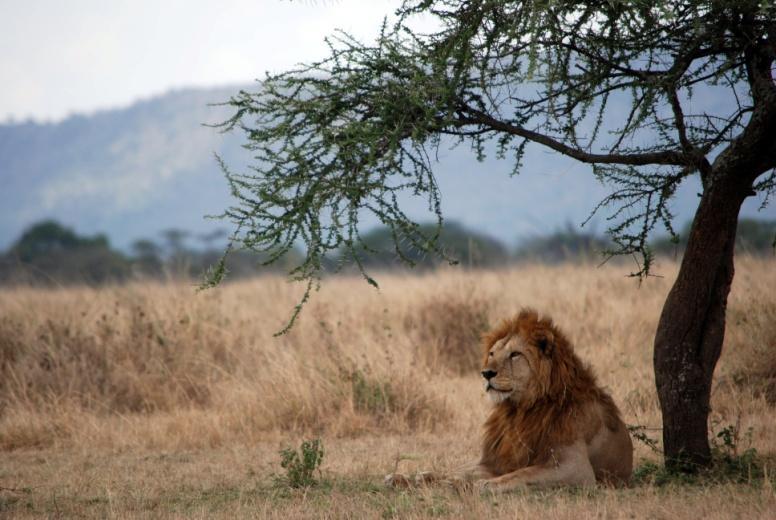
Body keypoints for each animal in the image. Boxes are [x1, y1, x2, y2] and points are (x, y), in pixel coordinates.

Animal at [384, 308, 632, 492]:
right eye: (492, 354)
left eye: (515, 355)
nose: (486, 373)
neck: (520, 411)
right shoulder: (498, 459)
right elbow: (461, 470)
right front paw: (422, 478)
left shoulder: (576, 468)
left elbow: (522, 474)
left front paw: (484, 485)